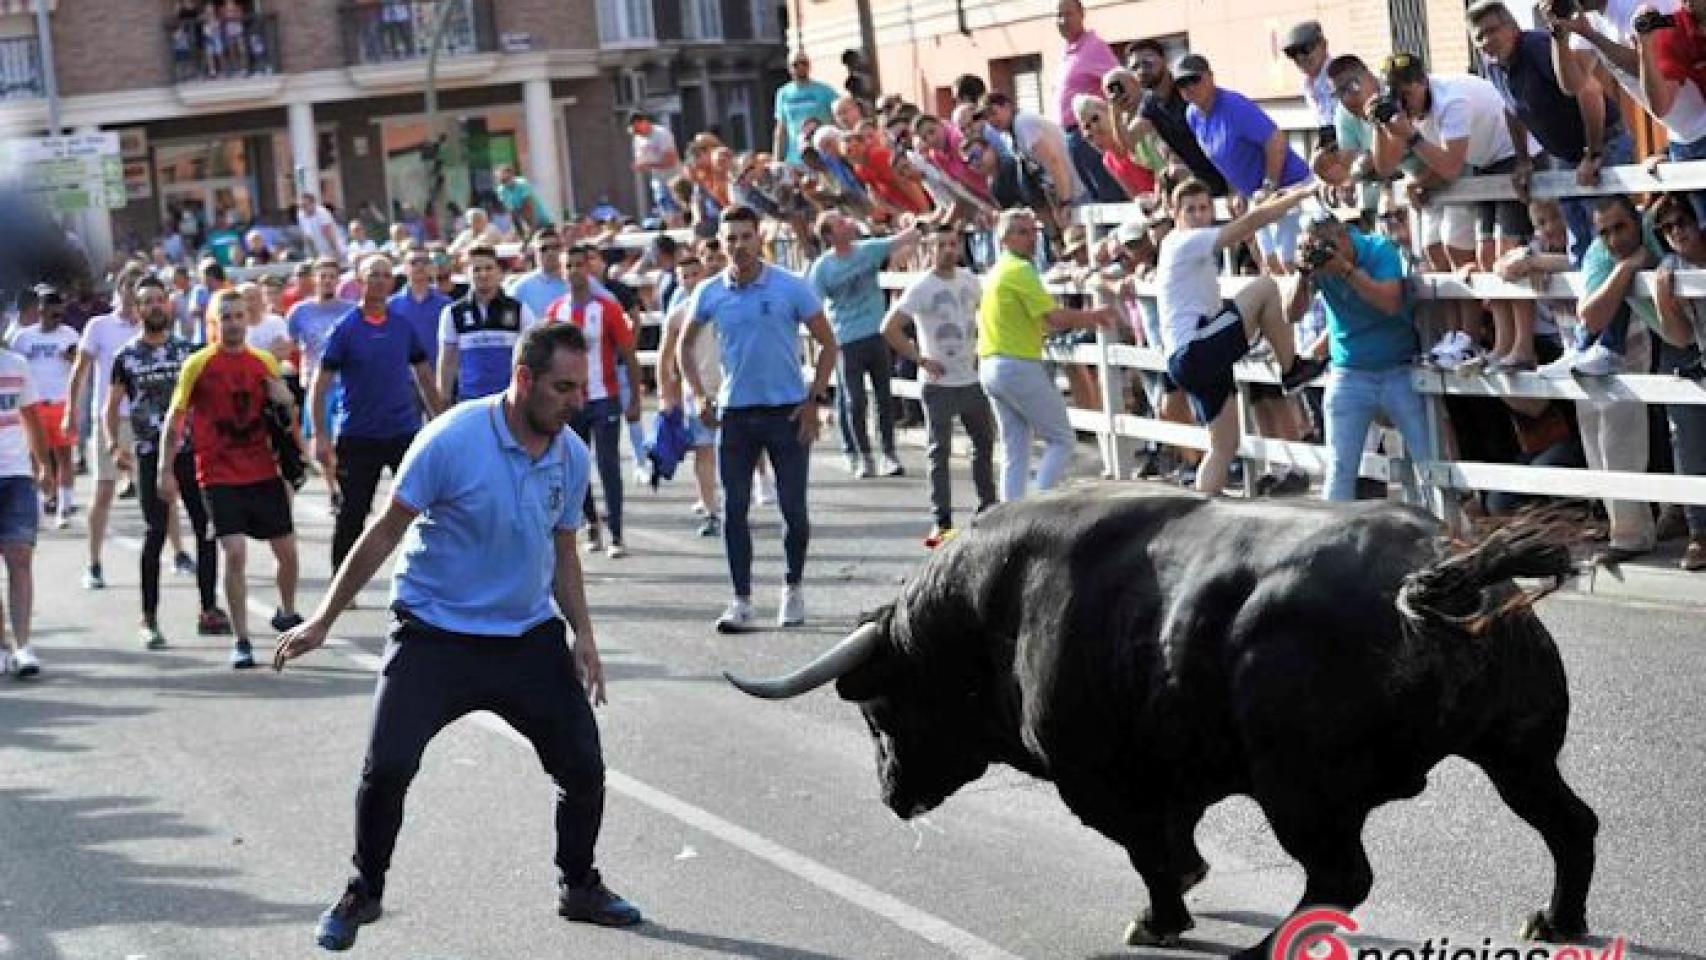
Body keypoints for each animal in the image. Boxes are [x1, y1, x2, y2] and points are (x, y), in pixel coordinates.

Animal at [723, 491, 1596, 954]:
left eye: (878, 708)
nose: (891, 794)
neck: (992, 609)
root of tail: (1430, 570)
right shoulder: (1176, 770)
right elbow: (1177, 838)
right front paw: (1188, 884)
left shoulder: (1101, 784)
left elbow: (1148, 852)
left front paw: (1158, 917)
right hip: (1518, 752)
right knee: (1569, 824)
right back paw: (1556, 919)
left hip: (1299, 792)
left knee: (1341, 876)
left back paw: (1262, 950)